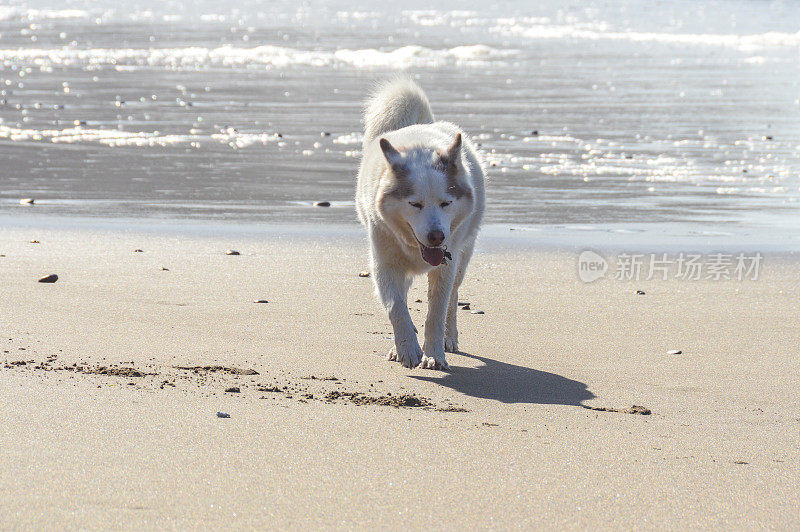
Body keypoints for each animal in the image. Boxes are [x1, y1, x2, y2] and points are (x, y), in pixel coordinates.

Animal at [358, 79, 488, 370]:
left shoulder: (446, 265)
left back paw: (450, 338)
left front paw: (434, 354)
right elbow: (396, 308)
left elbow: (437, 311)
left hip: (462, 256)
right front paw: (407, 349)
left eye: (446, 203)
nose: (437, 237)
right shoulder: (385, 264)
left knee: (453, 298)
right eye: (415, 204)